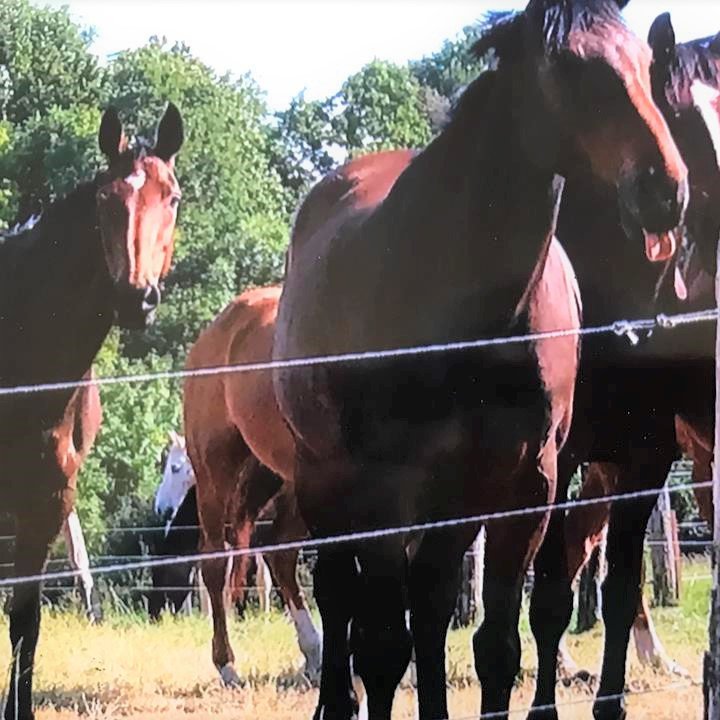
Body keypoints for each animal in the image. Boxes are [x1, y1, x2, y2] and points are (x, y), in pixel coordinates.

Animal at [273, 1, 689, 717]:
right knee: (341, 599)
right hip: (325, 481)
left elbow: (496, 644)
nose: (667, 188)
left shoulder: (526, 486)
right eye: (568, 66)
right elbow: (382, 650)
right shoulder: (386, 488)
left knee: (430, 605)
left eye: (644, 61)